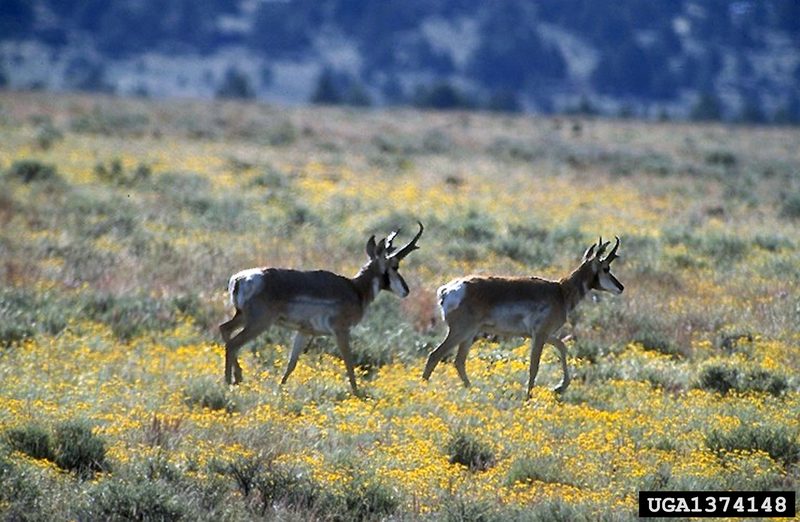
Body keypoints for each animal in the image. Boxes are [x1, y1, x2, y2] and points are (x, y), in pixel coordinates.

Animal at [216, 222, 422, 390]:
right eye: (395, 266)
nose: (407, 290)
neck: (355, 288)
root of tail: (239, 278)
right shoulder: (341, 331)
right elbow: (349, 362)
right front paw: (357, 394)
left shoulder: (304, 332)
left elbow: (291, 364)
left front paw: (280, 389)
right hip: (259, 323)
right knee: (233, 344)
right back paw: (229, 382)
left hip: (243, 317)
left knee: (225, 329)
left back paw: (237, 377)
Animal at [422, 236, 620, 394]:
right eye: (606, 268)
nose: (621, 287)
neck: (561, 291)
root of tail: (448, 289)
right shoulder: (540, 335)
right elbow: (534, 366)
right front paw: (529, 396)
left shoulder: (544, 335)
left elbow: (562, 347)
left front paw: (559, 387)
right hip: (460, 332)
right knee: (435, 355)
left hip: (469, 335)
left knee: (458, 362)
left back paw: (473, 391)